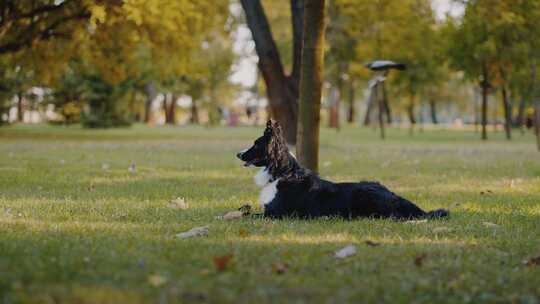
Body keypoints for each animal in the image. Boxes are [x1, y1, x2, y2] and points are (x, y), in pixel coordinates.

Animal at [236, 120, 448, 220]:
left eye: (256, 144)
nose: (238, 154)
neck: (282, 173)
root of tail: (394, 196)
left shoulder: (275, 214)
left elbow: (246, 215)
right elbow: (244, 211)